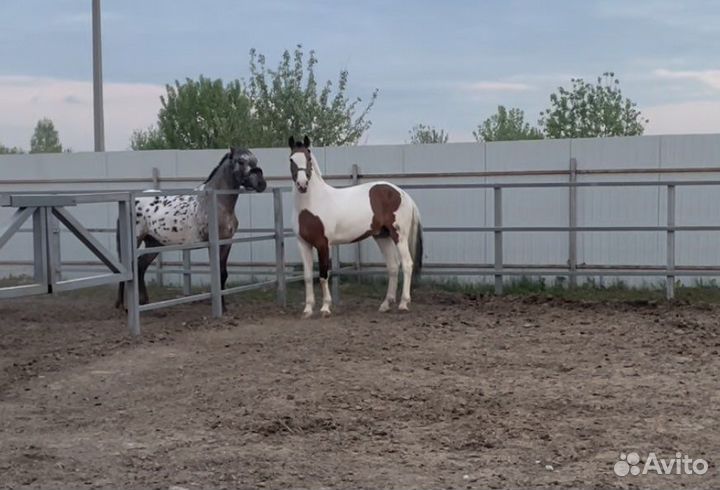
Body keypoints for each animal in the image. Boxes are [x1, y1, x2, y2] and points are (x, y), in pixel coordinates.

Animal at [115, 147, 267, 310]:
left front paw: (224, 307)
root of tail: (132, 201)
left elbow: (223, 274)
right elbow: (218, 273)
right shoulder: (213, 244)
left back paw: (144, 303)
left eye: (255, 160)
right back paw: (123, 305)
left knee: (140, 267)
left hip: (154, 243)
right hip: (136, 240)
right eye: (241, 161)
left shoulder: (227, 242)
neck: (215, 202)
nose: (261, 183)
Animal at [288, 135, 423, 317]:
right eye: (291, 159)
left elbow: (323, 275)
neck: (311, 204)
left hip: (399, 236)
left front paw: (325, 308)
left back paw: (403, 303)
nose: (302, 184)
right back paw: (385, 304)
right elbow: (308, 276)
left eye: (308, 158)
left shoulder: (323, 244)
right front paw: (308, 309)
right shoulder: (303, 244)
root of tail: (402, 193)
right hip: (382, 236)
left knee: (407, 264)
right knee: (393, 266)